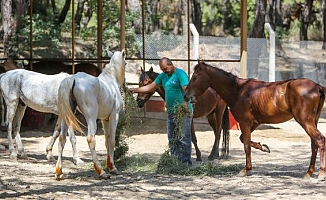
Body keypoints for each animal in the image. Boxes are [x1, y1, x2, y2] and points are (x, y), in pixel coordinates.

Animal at [56, 49, 125, 180]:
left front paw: (109, 165)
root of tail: (74, 79)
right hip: (91, 118)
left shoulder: (104, 119)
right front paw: (112, 168)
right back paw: (101, 172)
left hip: (66, 118)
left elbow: (107, 140)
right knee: (91, 139)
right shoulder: (114, 117)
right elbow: (112, 140)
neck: (111, 81)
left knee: (62, 138)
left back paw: (59, 172)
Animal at [185, 61, 326, 180]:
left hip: (305, 121)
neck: (238, 90)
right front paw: (264, 147)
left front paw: (246, 169)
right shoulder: (254, 123)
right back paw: (309, 172)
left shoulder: (244, 123)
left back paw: (321, 173)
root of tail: (317, 87)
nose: (186, 95)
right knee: (314, 144)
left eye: (195, 77)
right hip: (312, 121)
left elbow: (246, 145)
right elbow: (243, 140)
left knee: (319, 140)